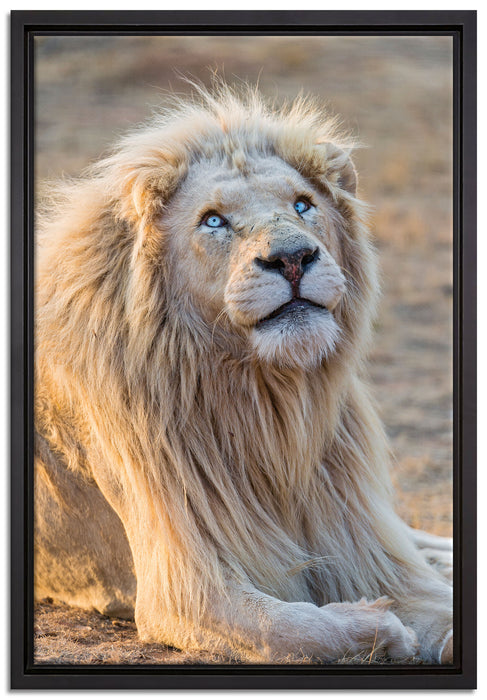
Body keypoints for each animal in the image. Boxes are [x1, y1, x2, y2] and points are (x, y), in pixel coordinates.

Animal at [34, 84, 453, 664]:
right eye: (213, 221)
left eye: (302, 205)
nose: (293, 257)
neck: (267, 401)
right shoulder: (187, 590)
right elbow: (290, 629)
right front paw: (381, 628)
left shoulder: (361, 542)